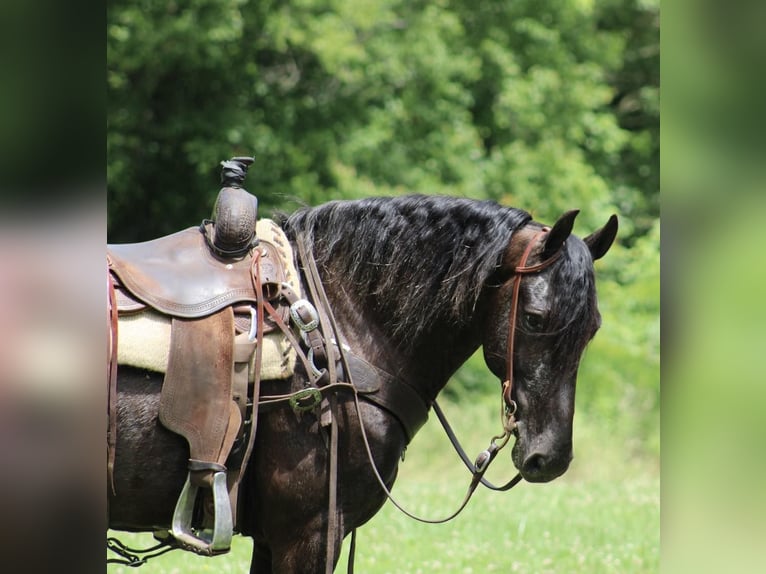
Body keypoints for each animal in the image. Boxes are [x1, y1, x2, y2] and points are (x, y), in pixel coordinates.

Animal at [108, 196, 620, 572]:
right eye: (534, 318)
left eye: (592, 327)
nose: (550, 457)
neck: (337, 328)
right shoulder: (310, 533)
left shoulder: (277, 539)